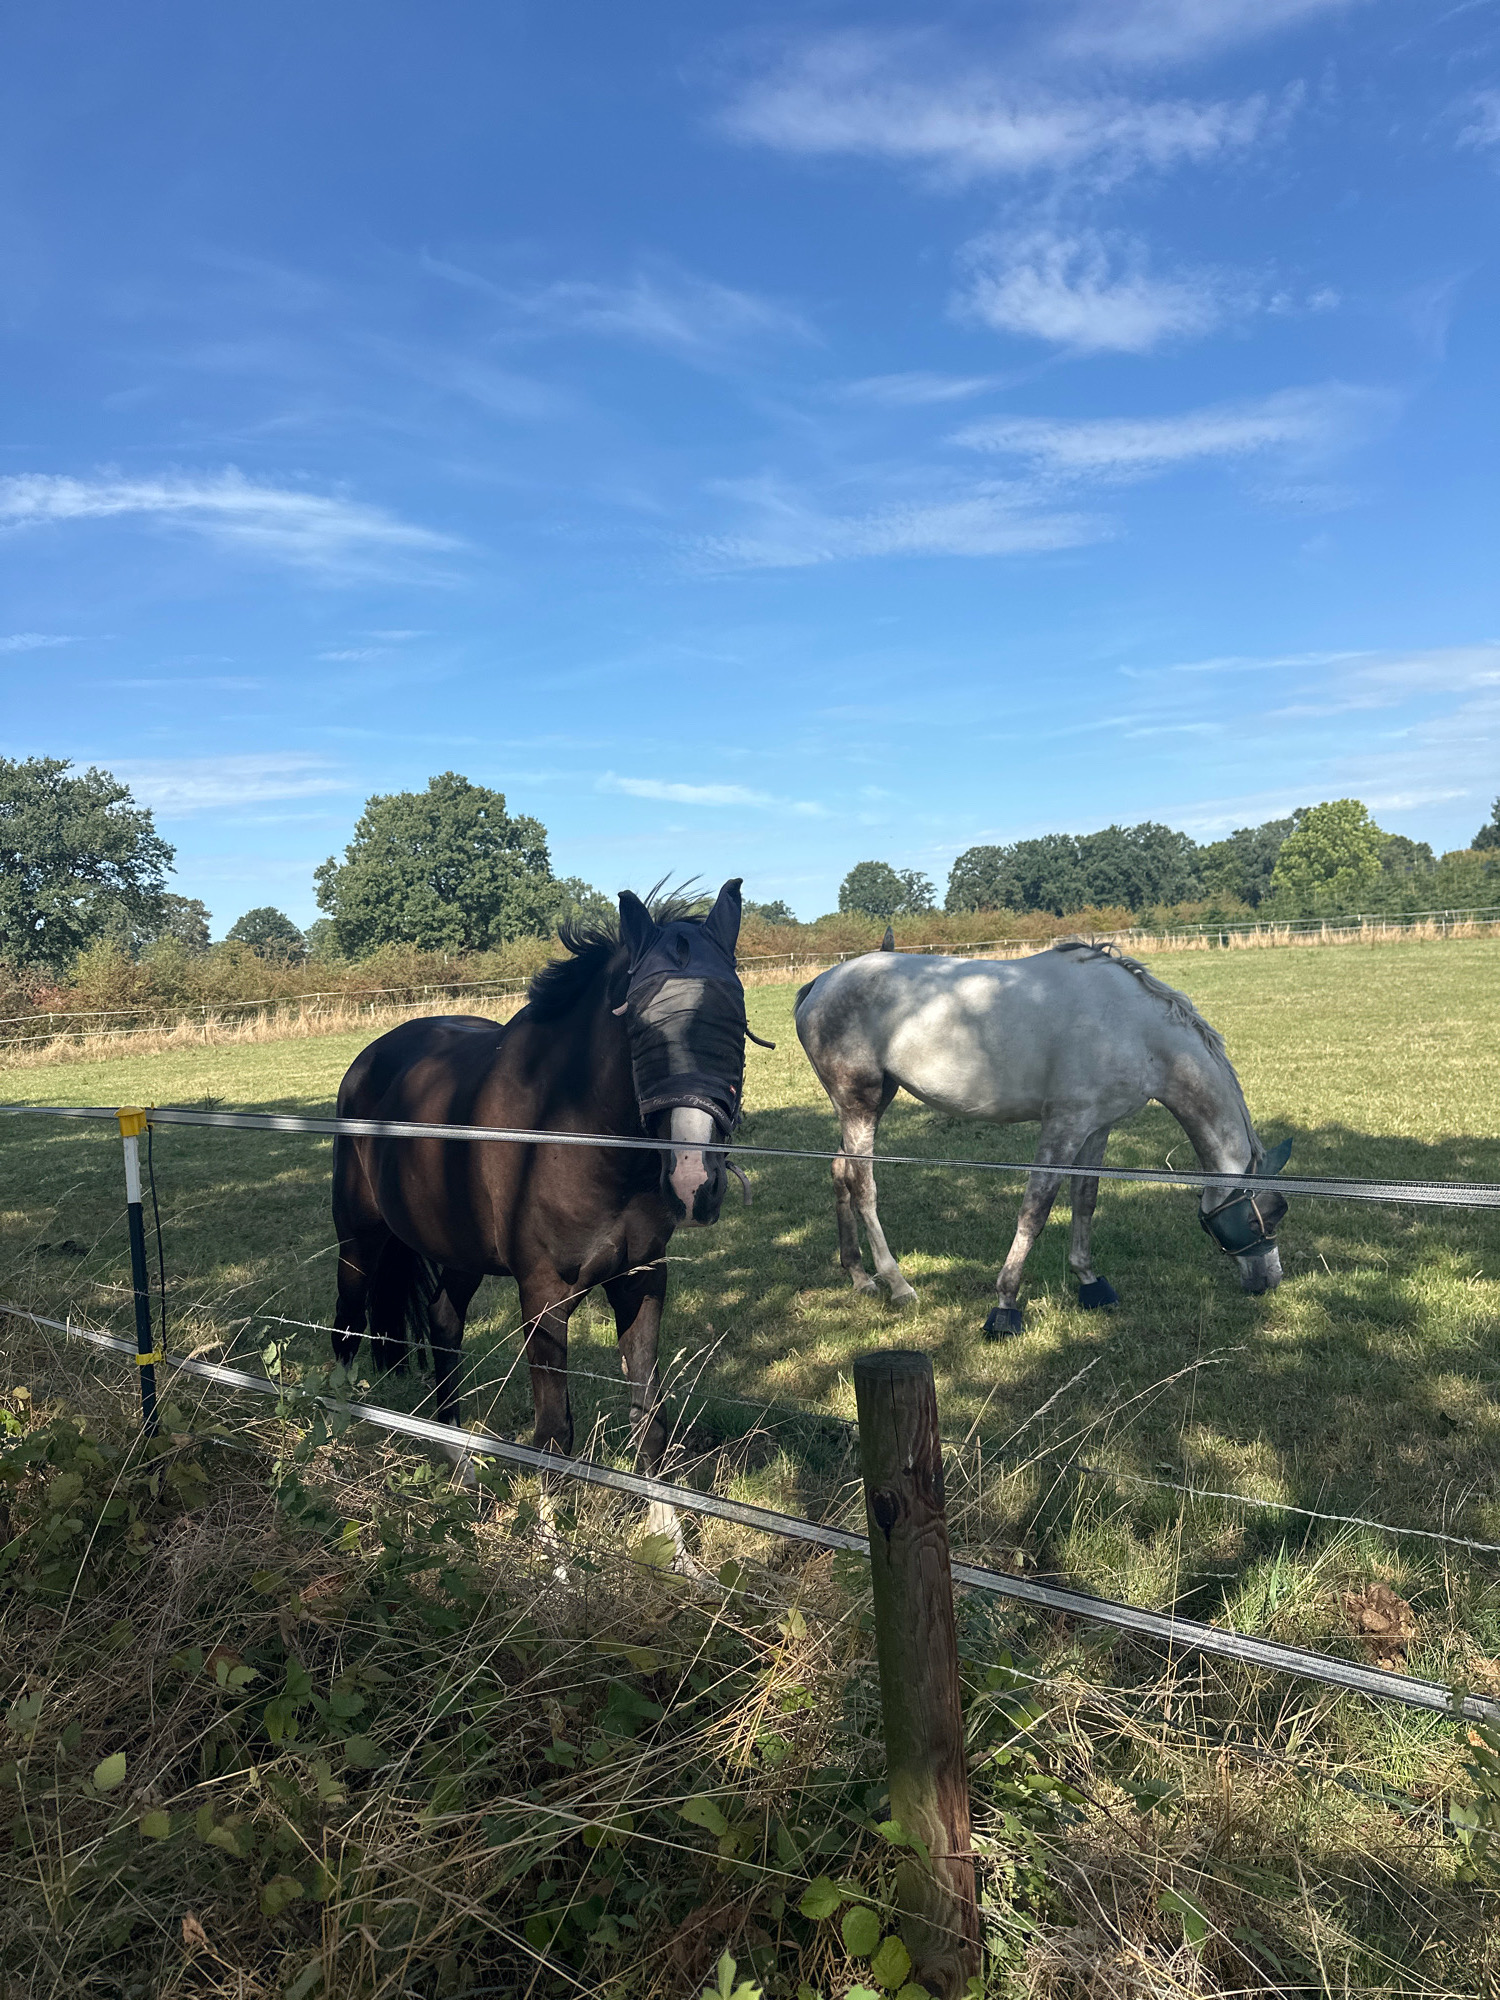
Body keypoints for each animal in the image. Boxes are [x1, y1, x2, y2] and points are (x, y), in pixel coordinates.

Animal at [328, 880, 750, 1532]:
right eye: (642, 1029)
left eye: (735, 1018)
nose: (692, 1179)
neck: (572, 1126)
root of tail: (370, 1059)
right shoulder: (544, 1297)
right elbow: (553, 1435)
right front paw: (552, 1549)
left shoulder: (641, 1280)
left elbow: (648, 1421)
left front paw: (669, 1543)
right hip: (359, 1241)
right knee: (345, 1332)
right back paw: (332, 1446)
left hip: (460, 1250)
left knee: (444, 1323)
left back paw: (462, 1467)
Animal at [794, 938, 1291, 1337]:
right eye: (1262, 1218)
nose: (1269, 1281)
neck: (1135, 1028)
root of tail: (819, 984)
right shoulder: (1063, 1126)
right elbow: (1035, 1211)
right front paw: (1005, 1305)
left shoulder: (1097, 1128)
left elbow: (1085, 1200)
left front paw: (1089, 1282)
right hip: (859, 1103)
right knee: (863, 1185)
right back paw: (897, 1284)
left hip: (873, 1102)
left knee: (839, 1170)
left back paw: (859, 1276)